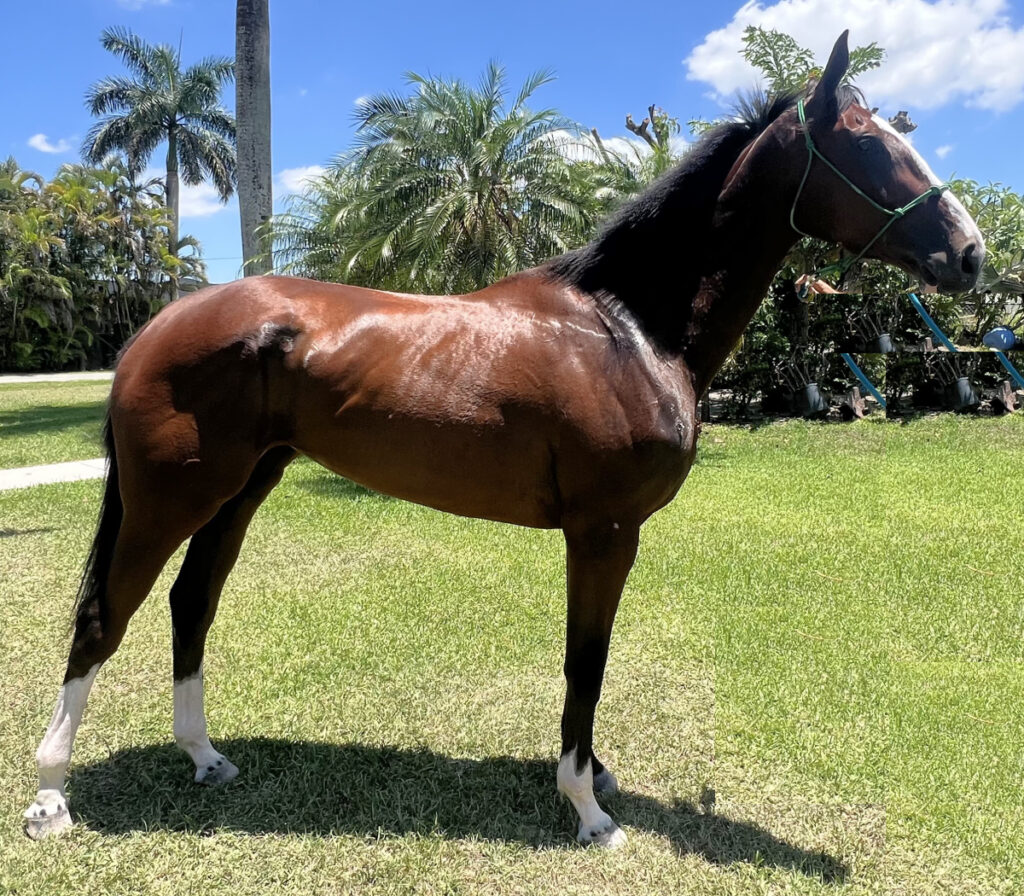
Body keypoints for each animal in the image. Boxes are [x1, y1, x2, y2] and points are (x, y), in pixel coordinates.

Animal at [25, 32, 983, 847]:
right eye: (865, 146)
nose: (971, 253)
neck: (627, 328)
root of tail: (158, 326)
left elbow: (585, 662)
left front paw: (594, 777)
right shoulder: (604, 534)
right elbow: (585, 661)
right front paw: (587, 807)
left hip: (240, 488)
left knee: (192, 603)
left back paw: (203, 757)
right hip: (171, 497)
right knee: (104, 616)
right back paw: (50, 796)